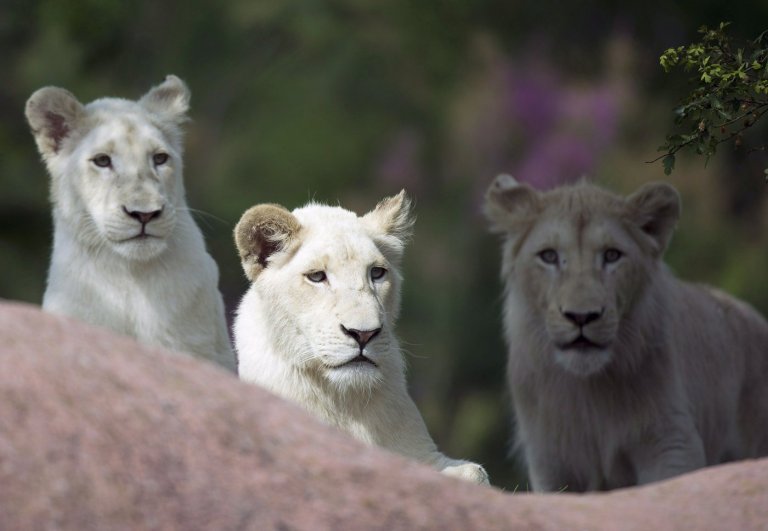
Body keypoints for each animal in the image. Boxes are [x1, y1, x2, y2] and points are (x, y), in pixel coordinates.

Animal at [232, 192, 489, 484]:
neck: (346, 401)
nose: (364, 334)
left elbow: (471, 474)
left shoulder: (424, 454)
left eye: (376, 273)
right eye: (317, 276)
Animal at [484, 174, 768, 492]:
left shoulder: (670, 442)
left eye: (611, 255)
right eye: (549, 256)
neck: (588, 390)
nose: (581, 316)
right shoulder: (551, 461)